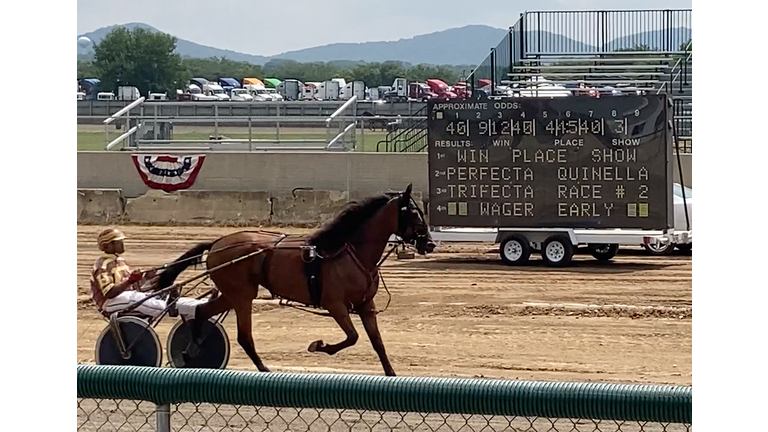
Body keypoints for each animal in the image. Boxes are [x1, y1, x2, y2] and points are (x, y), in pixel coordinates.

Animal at [158, 184, 432, 376]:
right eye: (415, 214)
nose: (429, 243)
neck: (349, 251)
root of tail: (217, 243)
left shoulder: (366, 306)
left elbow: (377, 342)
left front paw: (391, 373)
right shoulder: (335, 305)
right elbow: (352, 337)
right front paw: (319, 345)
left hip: (232, 294)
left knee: (202, 311)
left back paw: (191, 351)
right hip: (242, 295)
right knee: (244, 337)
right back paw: (263, 369)